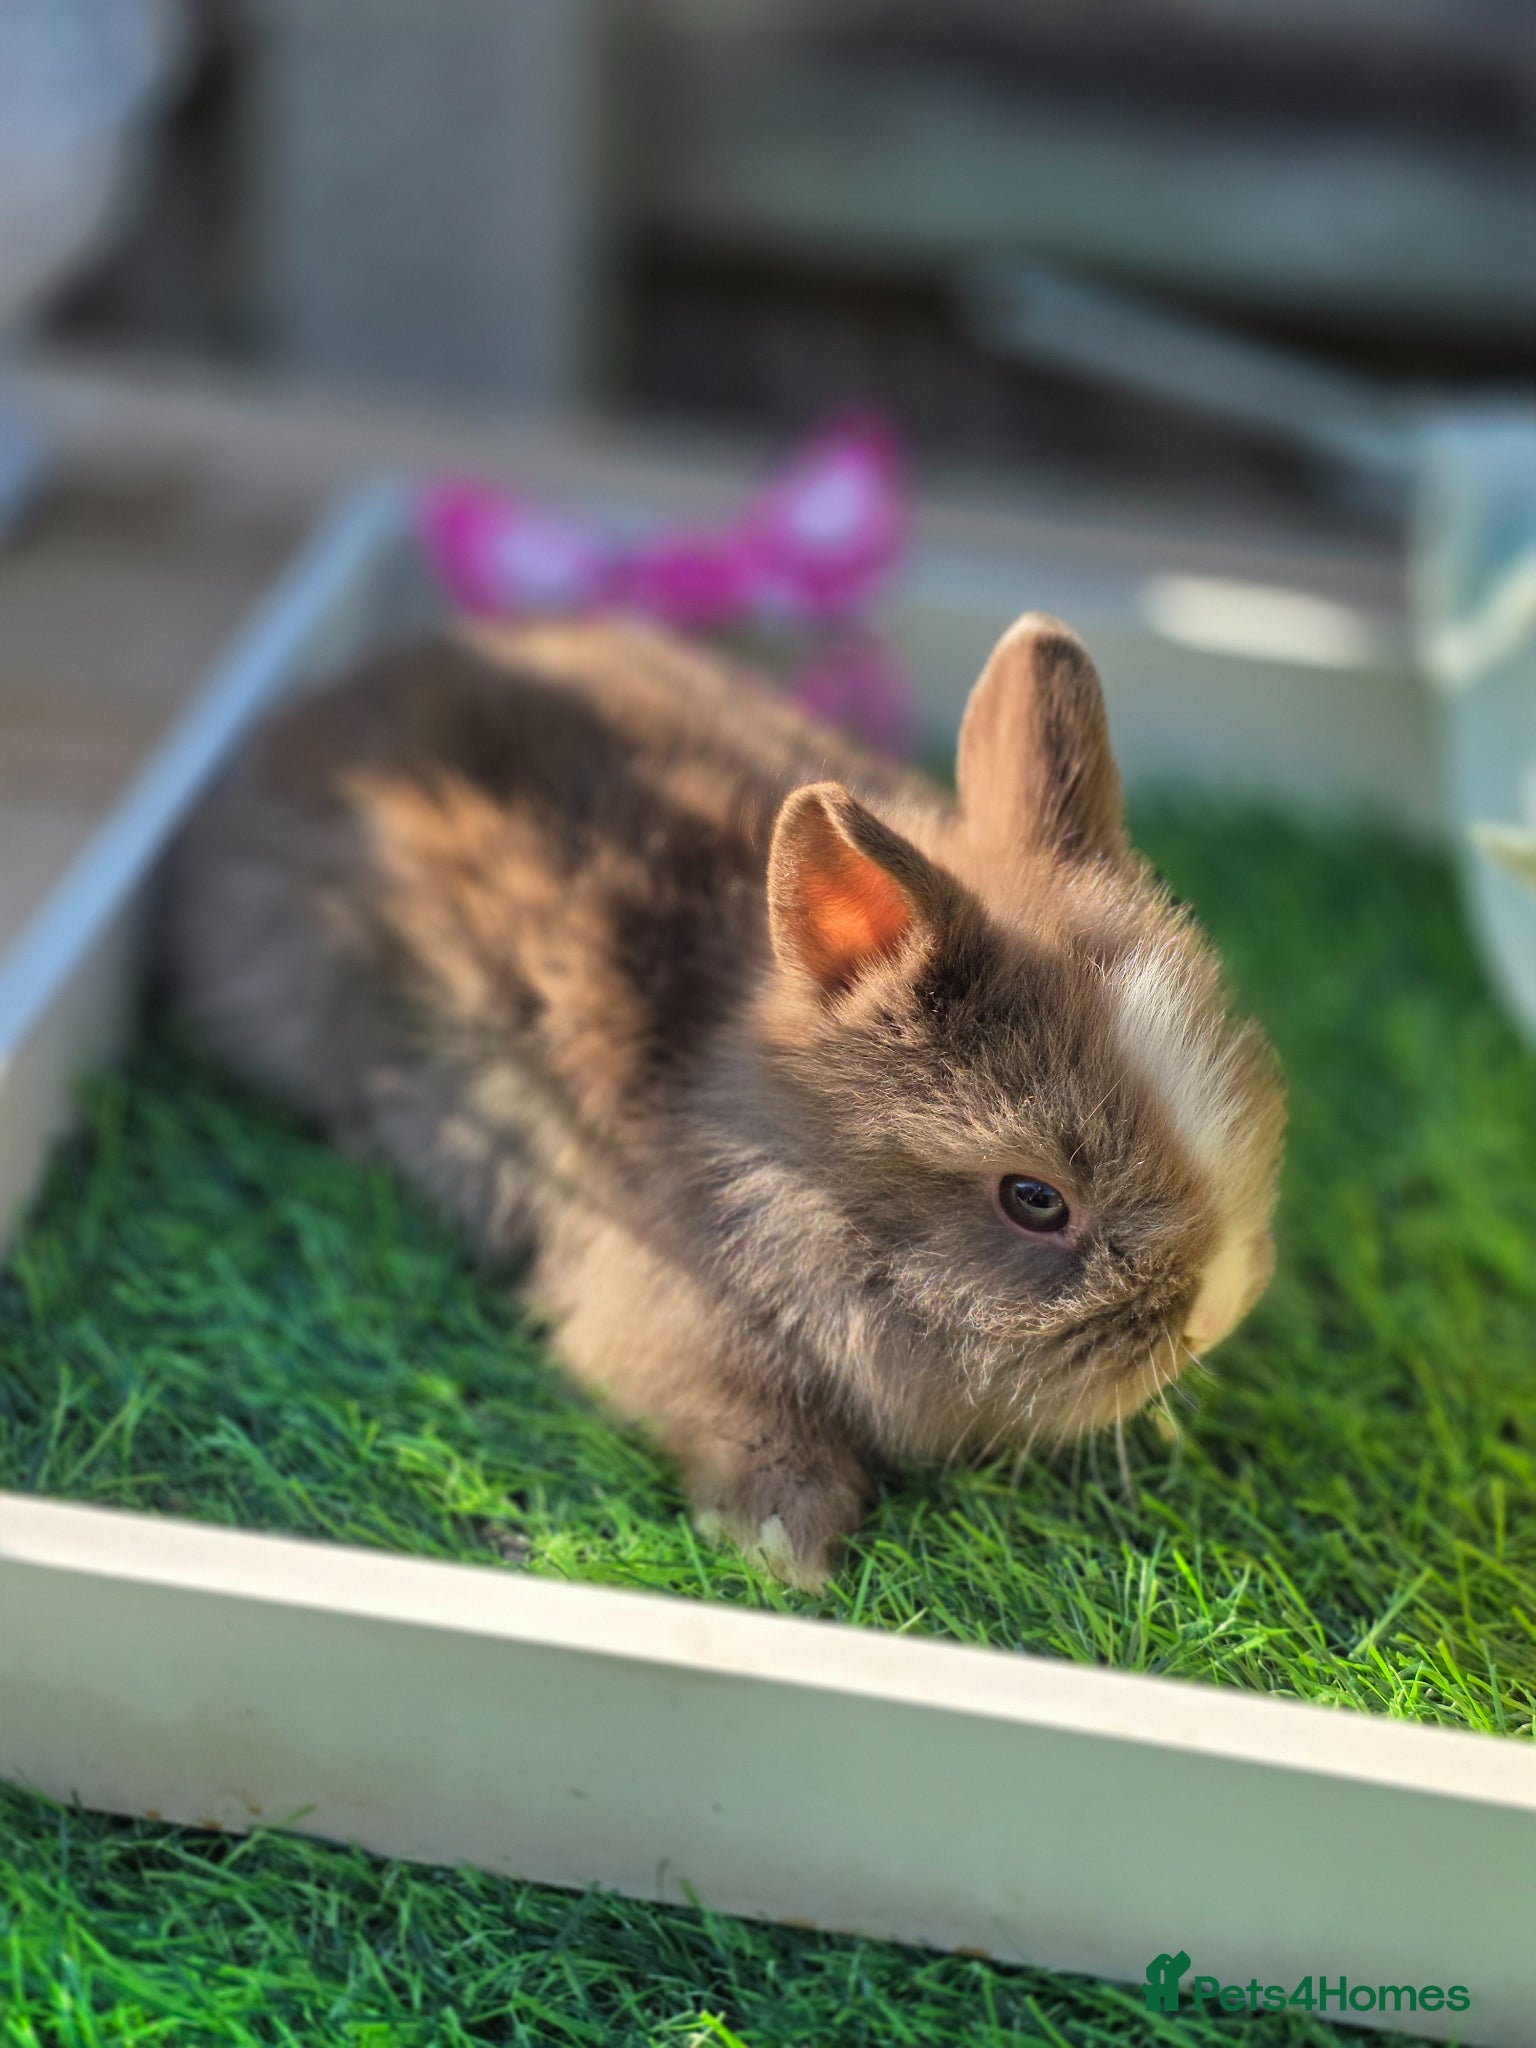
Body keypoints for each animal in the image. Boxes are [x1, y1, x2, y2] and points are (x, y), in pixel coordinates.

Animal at [166, 611, 1286, 1589]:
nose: (1218, 1311)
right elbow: (732, 1415)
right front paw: (787, 1547)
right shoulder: (658, 1304)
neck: (767, 1164)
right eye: (1035, 1199)